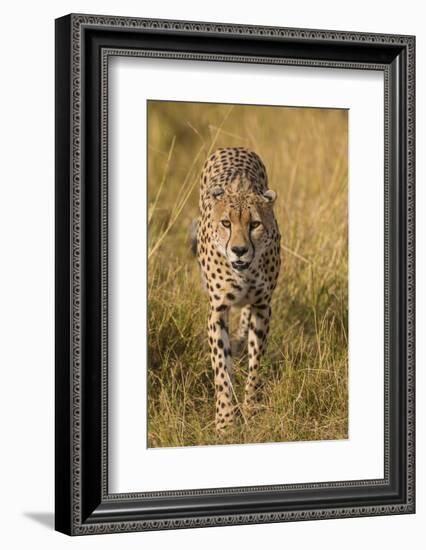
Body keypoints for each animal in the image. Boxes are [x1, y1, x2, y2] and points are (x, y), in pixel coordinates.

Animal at [194, 149, 282, 434]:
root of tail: (234, 147)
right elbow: (222, 369)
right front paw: (225, 421)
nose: (240, 250)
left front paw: (250, 409)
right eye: (226, 223)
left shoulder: (263, 307)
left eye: (254, 224)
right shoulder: (217, 309)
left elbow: (255, 365)